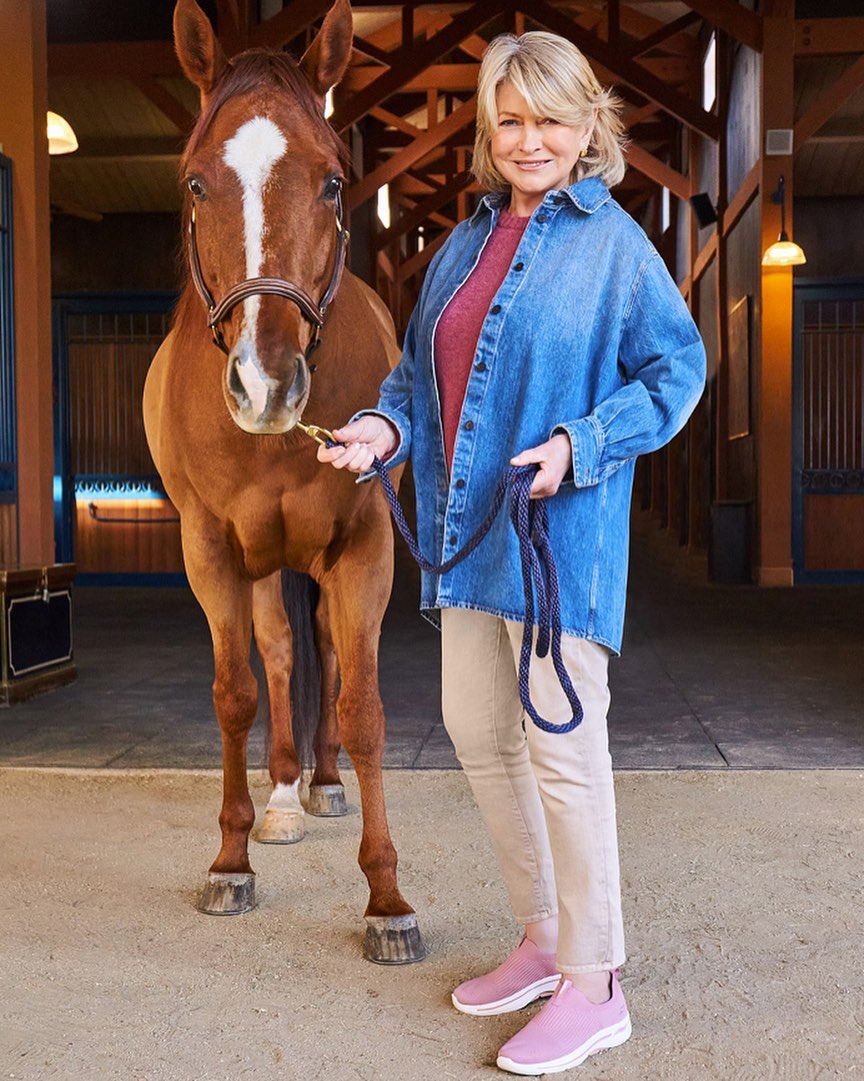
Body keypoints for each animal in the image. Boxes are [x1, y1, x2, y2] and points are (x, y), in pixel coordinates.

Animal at [143, 0, 425, 964]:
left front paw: (387, 897)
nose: (266, 385)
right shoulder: (210, 550)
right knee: (276, 653)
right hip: (263, 563)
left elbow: (366, 703)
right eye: (195, 183)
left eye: (334, 182)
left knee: (329, 657)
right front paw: (231, 860)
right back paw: (280, 800)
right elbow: (237, 692)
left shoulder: (365, 546)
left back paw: (324, 783)